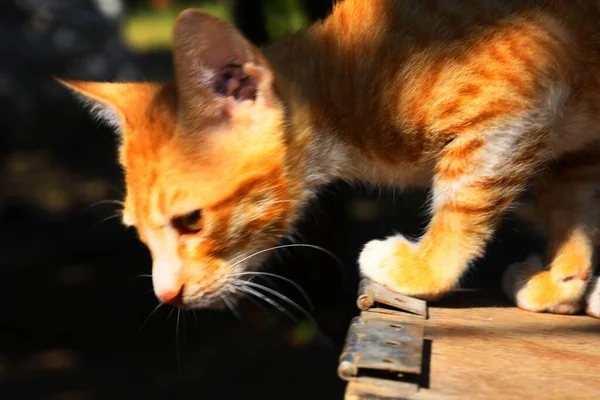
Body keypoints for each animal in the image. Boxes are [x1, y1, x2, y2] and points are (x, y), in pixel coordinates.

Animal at [57, 0, 600, 318]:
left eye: (191, 221)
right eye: (138, 234)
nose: (164, 294)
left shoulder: (519, 97)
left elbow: (465, 196)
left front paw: (425, 271)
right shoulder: (575, 146)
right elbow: (571, 206)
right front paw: (566, 280)